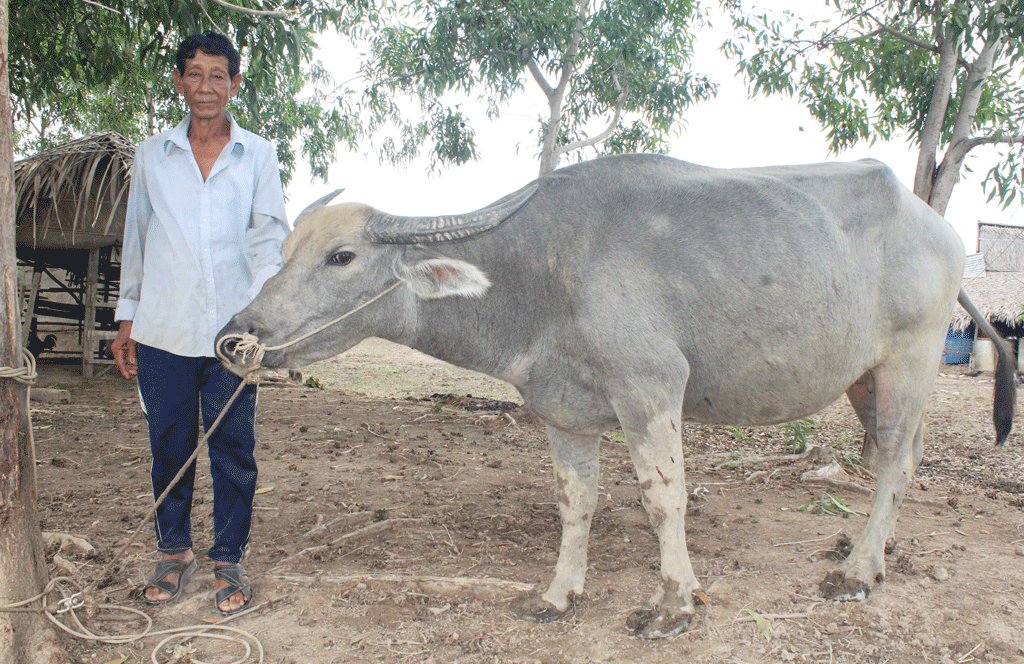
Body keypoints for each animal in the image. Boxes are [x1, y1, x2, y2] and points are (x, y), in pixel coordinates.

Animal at [218, 154, 1015, 639]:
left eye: (341, 256)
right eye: (283, 251)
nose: (236, 336)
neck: (541, 276)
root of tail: (937, 226)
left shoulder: (651, 391)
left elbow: (663, 499)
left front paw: (673, 604)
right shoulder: (561, 413)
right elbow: (576, 504)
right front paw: (556, 594)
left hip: (911, 359)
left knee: (897, 461)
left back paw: (856, 573)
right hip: (862, 378)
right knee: (895, 454)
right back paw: (870, 551)